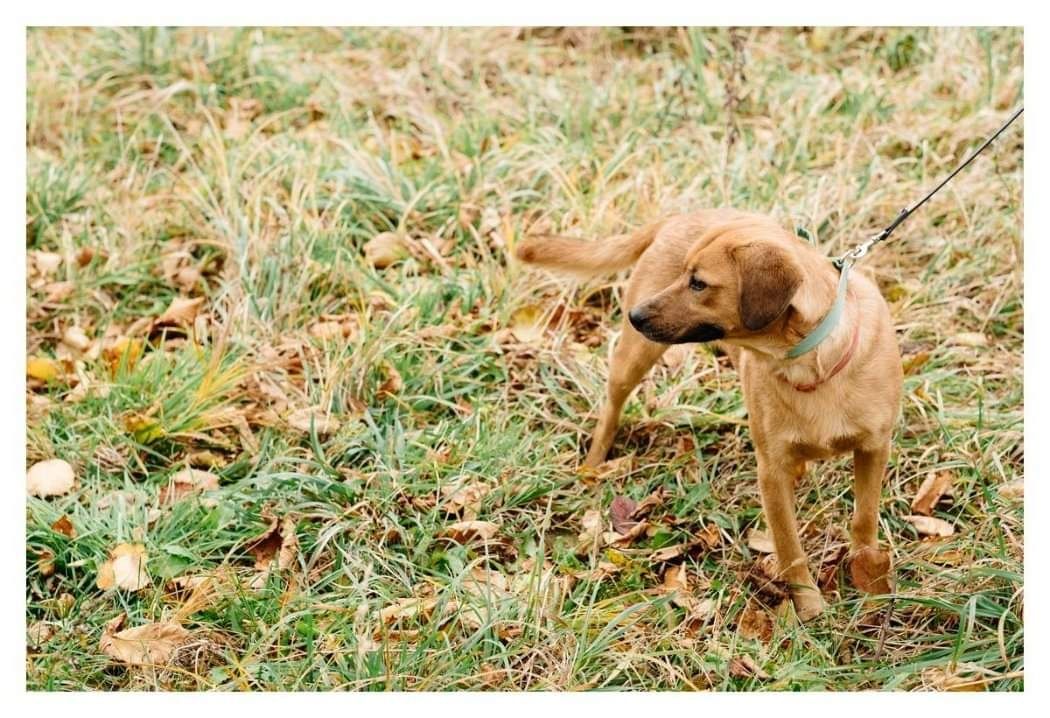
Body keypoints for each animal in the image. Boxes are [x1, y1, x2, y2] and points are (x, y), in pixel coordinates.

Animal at [516, 209, 902, 621]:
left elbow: (864, 518)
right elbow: (790, 548)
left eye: (698, 283)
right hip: (633, 358)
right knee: (611, 408)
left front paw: (868, 580)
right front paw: (811, 609)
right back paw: (593, 463)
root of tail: (683, 214)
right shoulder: (771, 473)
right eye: (686, 275)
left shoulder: (874, 449)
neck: (811, 366)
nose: (635, 315)